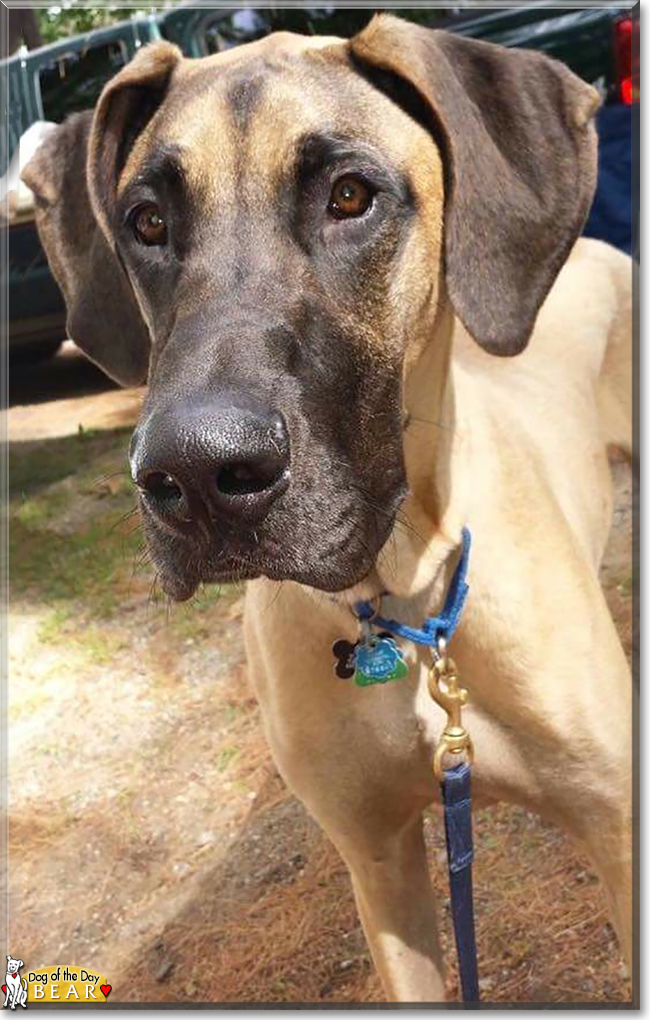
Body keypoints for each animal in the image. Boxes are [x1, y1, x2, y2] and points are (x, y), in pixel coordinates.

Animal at [22, 15, 632, 1003]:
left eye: (350, 196)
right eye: (146, 222)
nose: (194, 475)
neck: (404, 598)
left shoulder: (616, 837)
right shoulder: (379, 864)